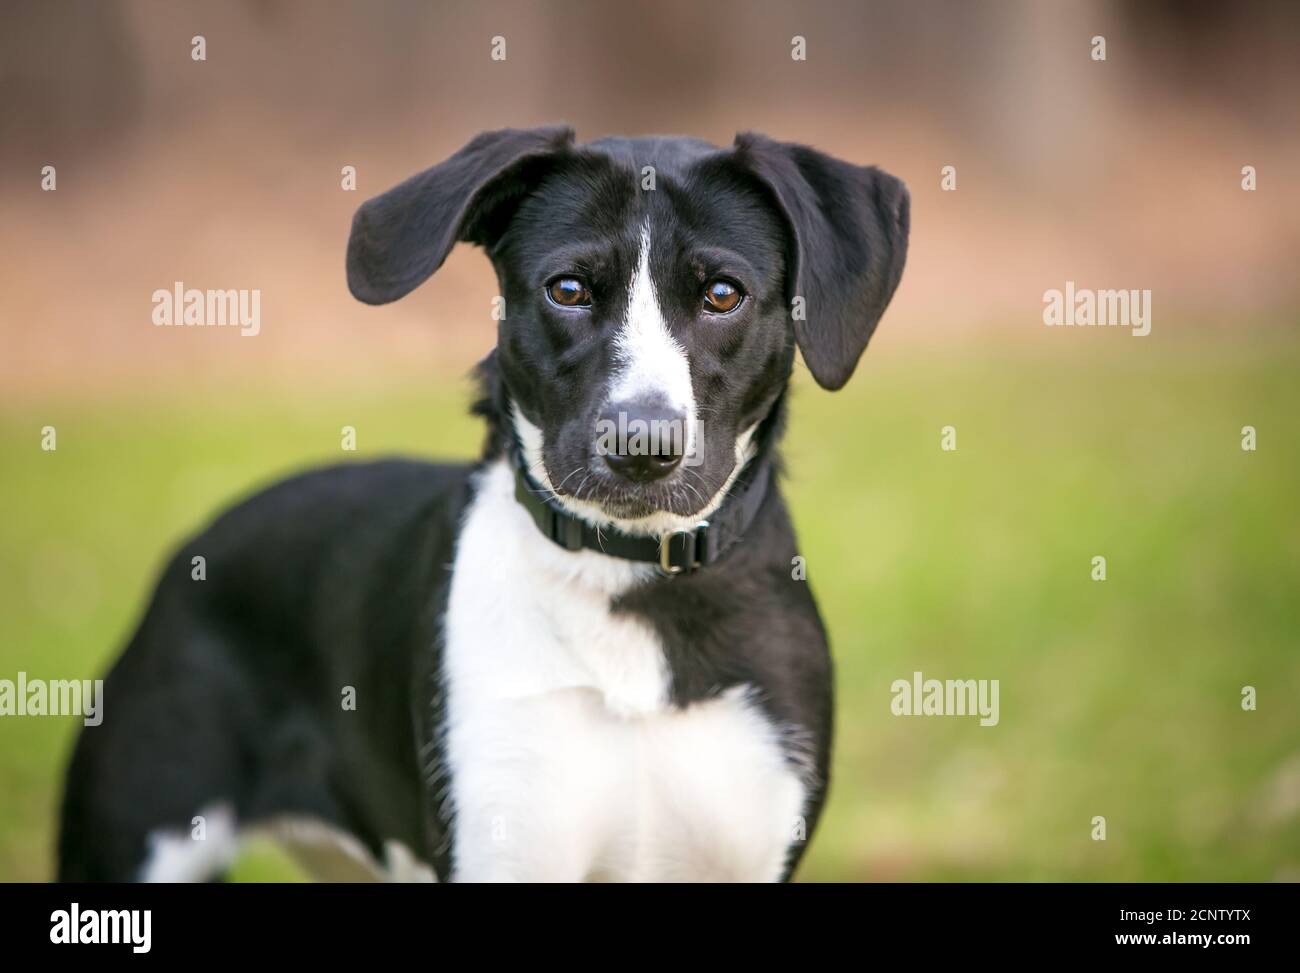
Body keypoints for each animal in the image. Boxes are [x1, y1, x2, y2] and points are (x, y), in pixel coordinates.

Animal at [61, 127, 909, 879]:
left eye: (723, 294)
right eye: (567, 289)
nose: (643, 443)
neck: (632, 584)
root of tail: (190, 551)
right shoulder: (504, 837)